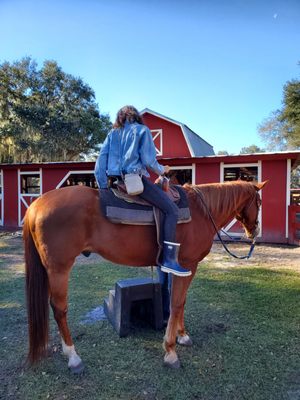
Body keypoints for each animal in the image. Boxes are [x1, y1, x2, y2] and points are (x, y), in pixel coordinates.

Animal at [24, 180, 266, 372]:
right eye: (259, 203)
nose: (254, 231)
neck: (201, 211)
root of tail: (36, 205)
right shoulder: (188, 265)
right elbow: (177, 303)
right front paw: (170, 350)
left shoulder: (181, 268)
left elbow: (180, 301)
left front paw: (182, 335)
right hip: (59, 268)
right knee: (59, 309)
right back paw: (73, 357)